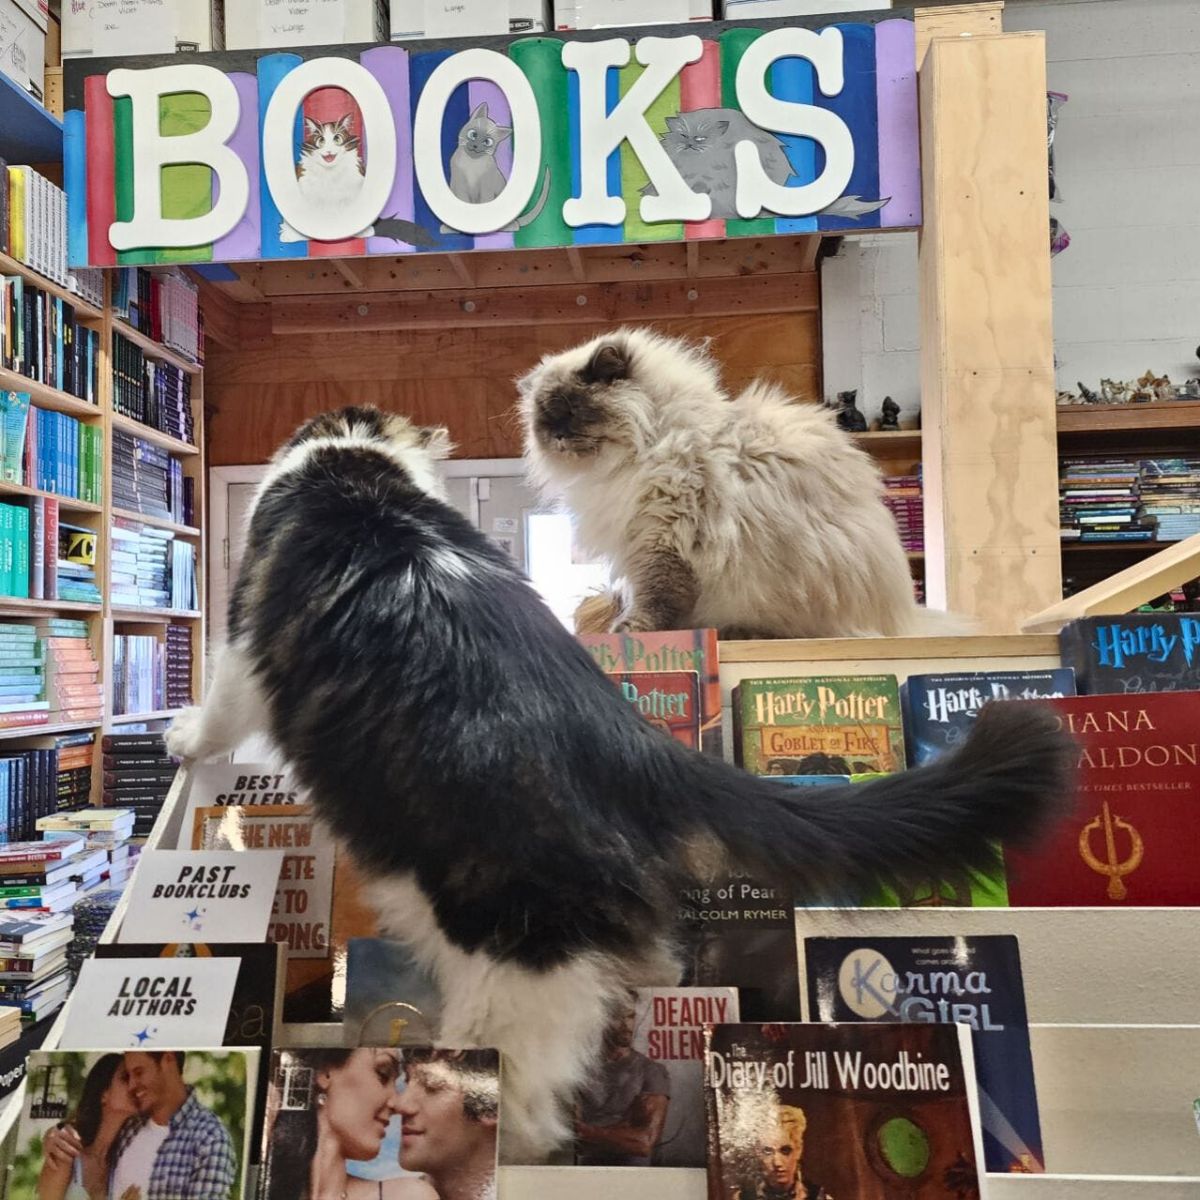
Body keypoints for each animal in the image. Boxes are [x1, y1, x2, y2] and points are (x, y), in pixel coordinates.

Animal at [166, 405, 1070, 1161]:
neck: (357, 461)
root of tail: (632, 740)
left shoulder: (244, 645)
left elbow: (219, 708)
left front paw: (181, 734)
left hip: (513, 951)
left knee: (522, 1099)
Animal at [520, 328, 950, 638]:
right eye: (545, 419)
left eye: (573, 411)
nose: (557, 435)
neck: (649, 441)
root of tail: (902, 621)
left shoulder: (661, 538)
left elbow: (655, 599)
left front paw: (628, 632)